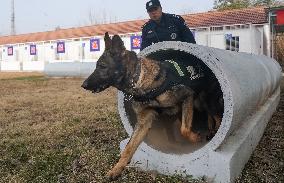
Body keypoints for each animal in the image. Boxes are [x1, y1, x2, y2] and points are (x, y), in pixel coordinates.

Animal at [81, 32, 223, 179]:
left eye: (102, 66)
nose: (83, 85)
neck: (139, 80)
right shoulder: (144, 122)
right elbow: (129, 148)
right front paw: (116, 169)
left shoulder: (187, 95)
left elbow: (184, 129)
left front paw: (197, 137)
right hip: (197, 104)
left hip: (205, 101)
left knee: (217, 116)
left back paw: (214, 131)